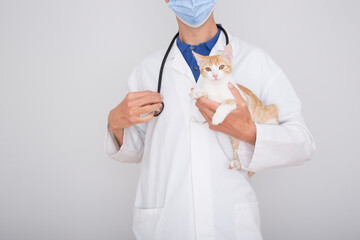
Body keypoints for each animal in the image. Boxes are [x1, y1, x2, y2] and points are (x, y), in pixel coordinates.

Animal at [190, 43, 280, 178]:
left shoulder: (241, 99)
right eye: (208, 69)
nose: (215, 75)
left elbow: (228, 102)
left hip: (271, 109)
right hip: (236, 142)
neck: (217, 87)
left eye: (221, 67)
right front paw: (198, 92)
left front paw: (217, 117)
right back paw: (236, 163)